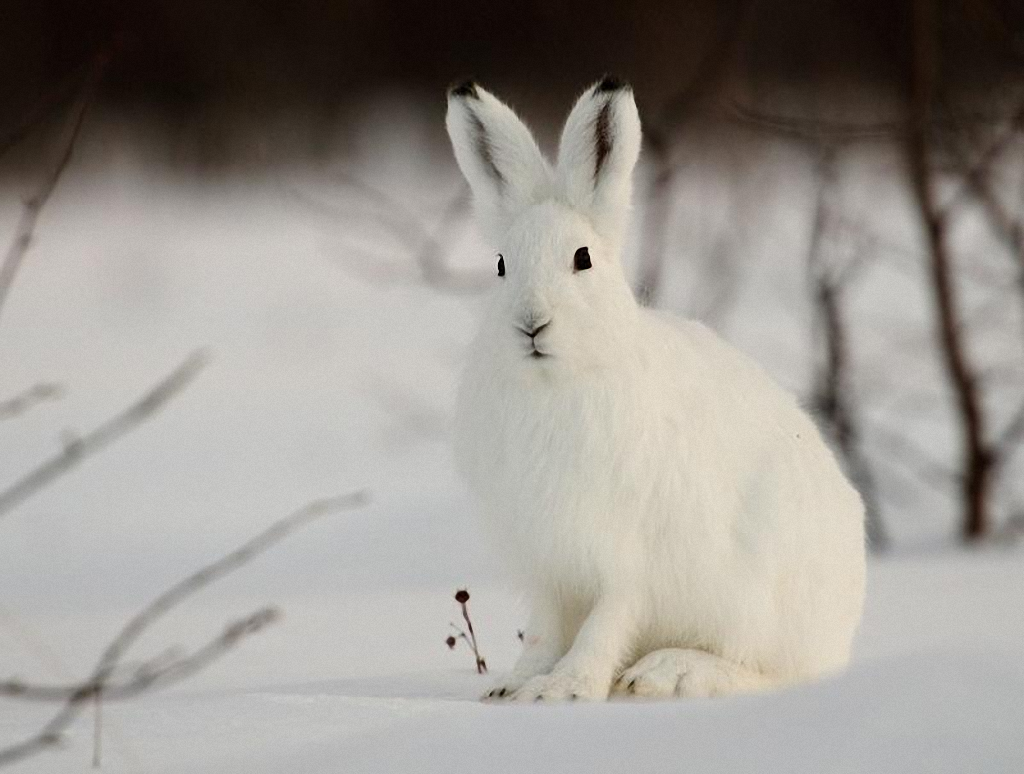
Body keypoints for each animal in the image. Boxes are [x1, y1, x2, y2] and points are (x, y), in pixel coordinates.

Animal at [446, 76, 866, 702]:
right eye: (500, 265)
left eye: (583, 259)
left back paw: (669, 672)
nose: (531, 323)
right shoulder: (549, 564)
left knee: (773, 672)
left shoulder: (628, 563)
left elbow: (605, 624)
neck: (556, 382)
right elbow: (544, 632)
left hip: (757, 601)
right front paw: (513, 688)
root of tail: (842, 627)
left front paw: (564, 689)